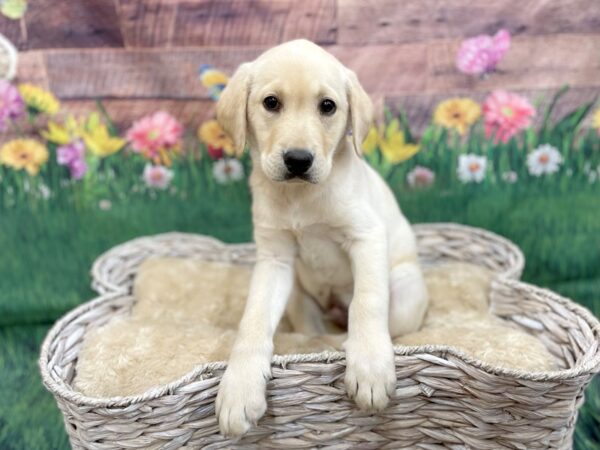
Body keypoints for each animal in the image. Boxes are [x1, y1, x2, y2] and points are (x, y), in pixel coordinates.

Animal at [214, 38, 426, 436]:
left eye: (327, 106)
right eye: (271, 103)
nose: (298, 160)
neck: (300, 197)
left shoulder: (366, 236)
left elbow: (367, 303)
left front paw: (370, 366)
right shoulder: (274, 258)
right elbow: (252, 319)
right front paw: (239, 387)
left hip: (406, 292)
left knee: (386, 323)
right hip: (299, 297)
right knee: (310, 332)